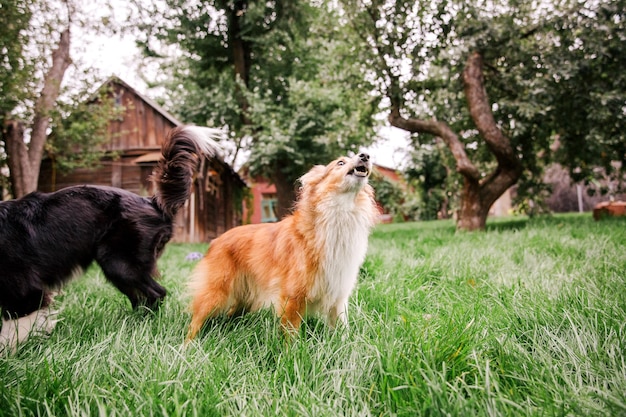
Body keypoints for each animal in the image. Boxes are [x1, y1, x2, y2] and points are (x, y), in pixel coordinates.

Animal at [0, 124, 221, 348]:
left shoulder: (24, 291)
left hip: (119, 263)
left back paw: (142, 324)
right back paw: (131, 322)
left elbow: (12, 330)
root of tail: (152, 202)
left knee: (157, 293)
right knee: (141, 297)